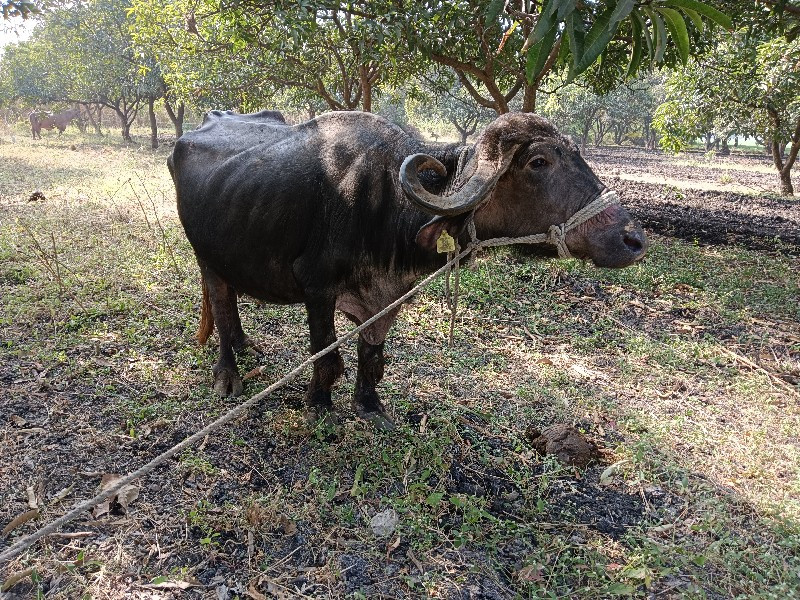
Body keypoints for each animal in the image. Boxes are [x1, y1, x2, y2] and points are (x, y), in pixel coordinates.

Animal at [167, 108, 644, 426]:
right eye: (539, 162)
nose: (632, 240)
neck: (385, 205)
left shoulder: (389, 296)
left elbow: (373, 356)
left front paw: (368, 404)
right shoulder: (316, 288)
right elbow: (328, 358)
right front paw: (320, 406)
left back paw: (246, 345)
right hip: (206, 258)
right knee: (221, 307)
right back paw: (228, 374)